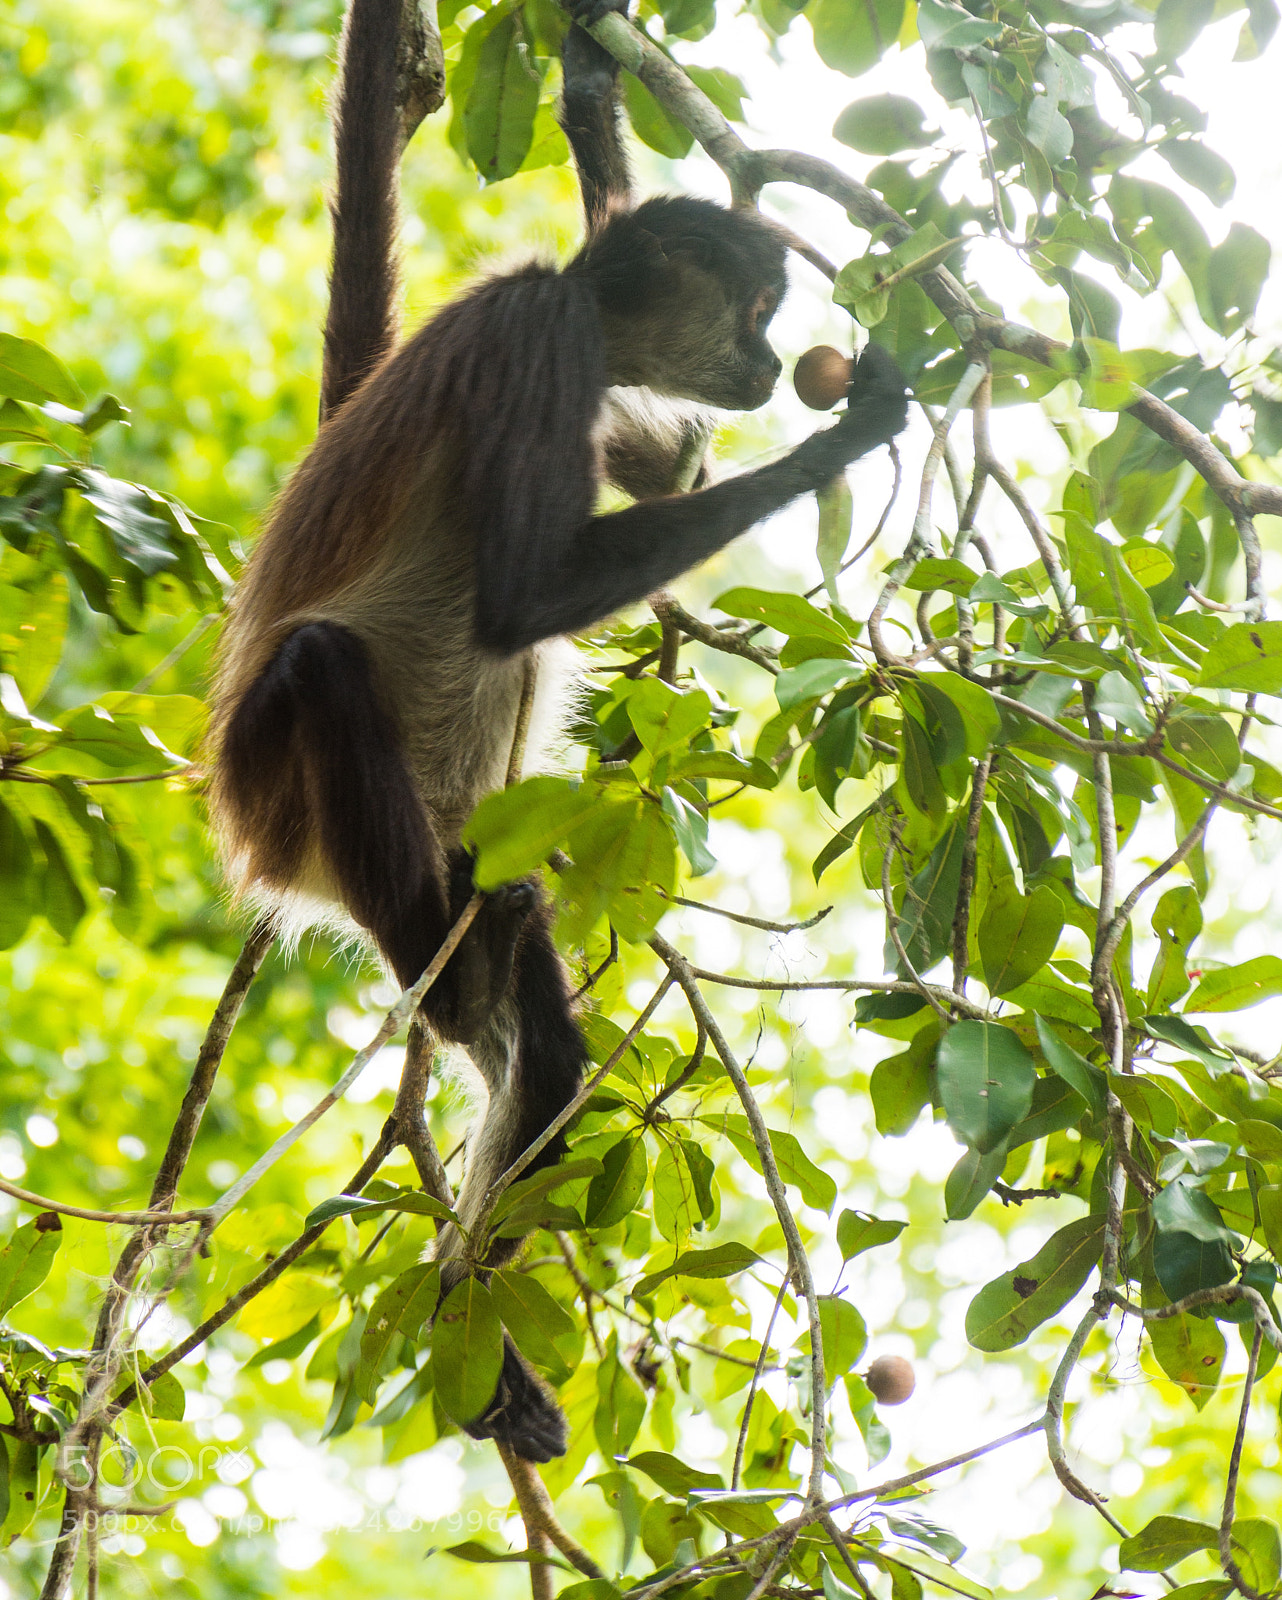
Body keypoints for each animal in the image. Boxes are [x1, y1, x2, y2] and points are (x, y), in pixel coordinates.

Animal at [207, 0, 909, 1462]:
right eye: (755, 314)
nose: (776, 363)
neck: (576, 305)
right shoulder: (542, 335)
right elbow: (525, 598)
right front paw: (849, 432)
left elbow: (666, 471)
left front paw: (590, 84)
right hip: (292, 796)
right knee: (320, 664)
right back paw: (448, 998)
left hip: (453, 852)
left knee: (543, 1040)